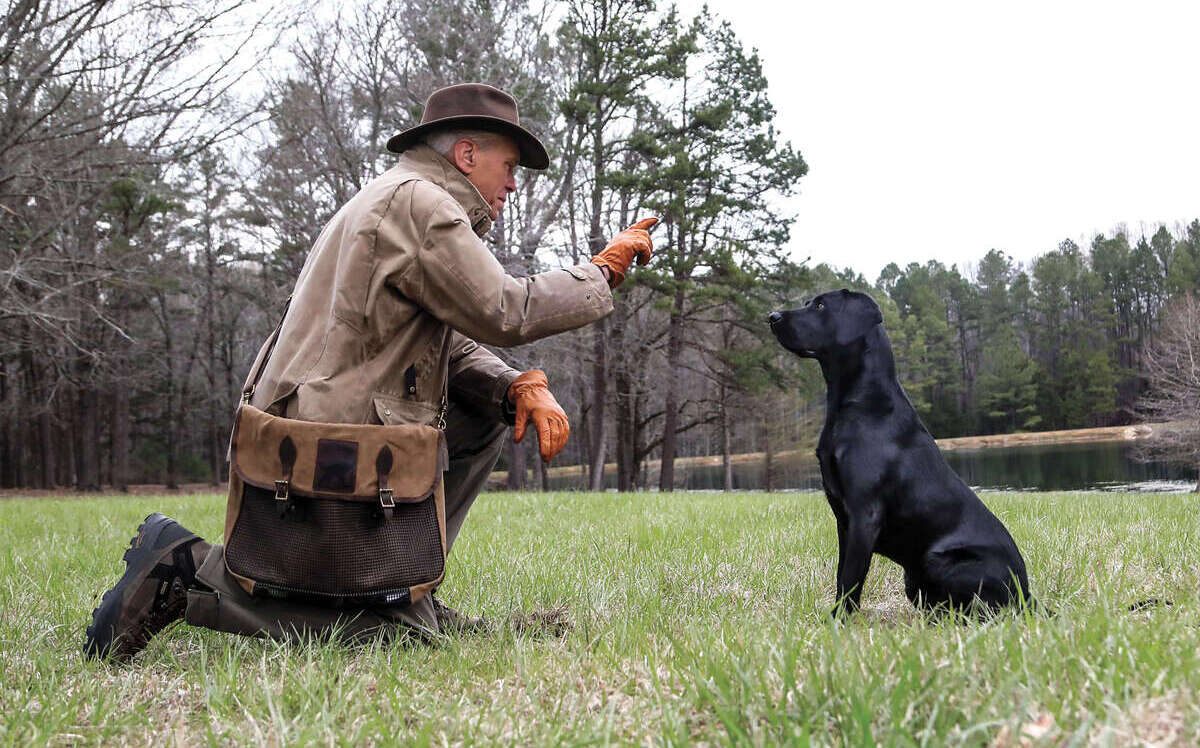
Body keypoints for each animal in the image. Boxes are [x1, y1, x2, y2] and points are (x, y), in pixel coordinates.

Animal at [768, 289, 1032, 619]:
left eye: (820, 305)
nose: (772, 317)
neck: (856, 405)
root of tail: (1028, 596)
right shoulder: (844, 522)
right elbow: (842, 575)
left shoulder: (864, 514)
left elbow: (851, 578)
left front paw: (838, 621)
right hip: (914, 577)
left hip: (937, 559)